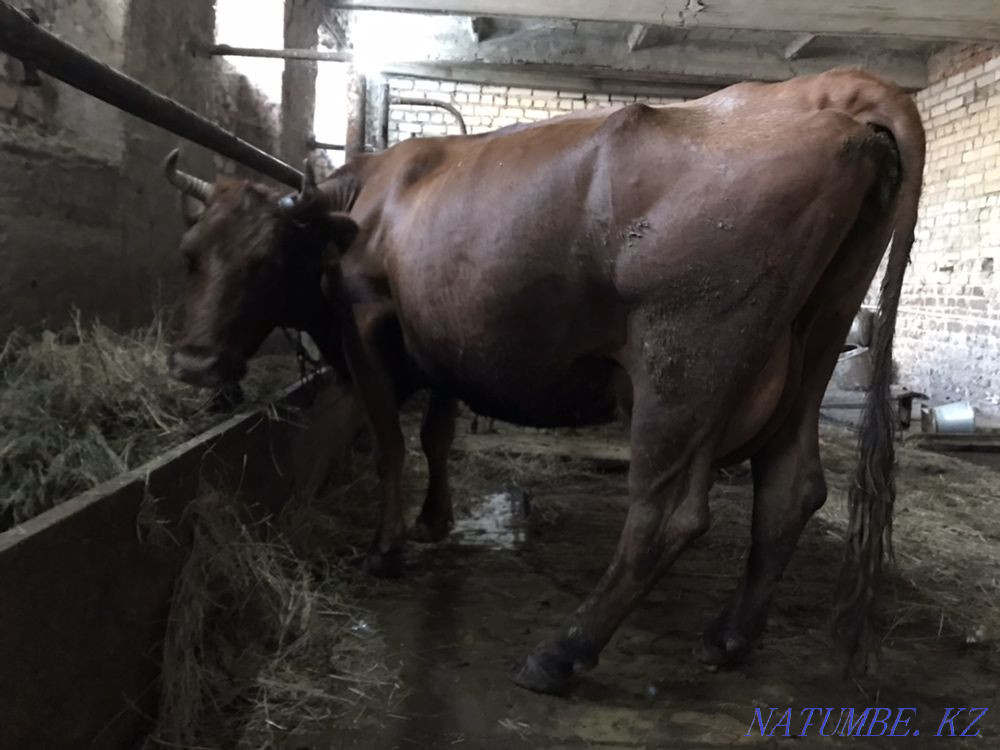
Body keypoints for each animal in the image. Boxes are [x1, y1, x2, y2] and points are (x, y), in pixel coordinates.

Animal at [165, 68, 924, 694]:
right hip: (812, 346)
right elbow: (437, 435)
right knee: (790, 488)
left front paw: (387, 549)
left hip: (686, 362)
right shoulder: (445, 340)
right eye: (191, 253)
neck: (370, 204)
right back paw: (730, 638)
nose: (194, 363)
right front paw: (435, 520)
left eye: (267, 261)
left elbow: (389, 444)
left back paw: (561, 652)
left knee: (668, 512)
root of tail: (830, 97)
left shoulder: (367, 323)